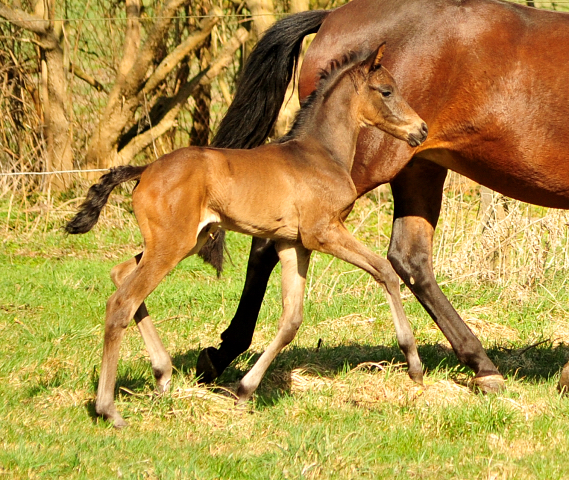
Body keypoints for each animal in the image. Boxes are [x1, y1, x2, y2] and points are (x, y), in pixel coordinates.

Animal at [67, 44, 426, 428]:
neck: (319, 154)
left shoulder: (293, 244)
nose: (421, 129)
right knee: (123, 301)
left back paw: (162, 374)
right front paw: (414, 365)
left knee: (121, 275)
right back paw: (109, 409)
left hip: (185, 241)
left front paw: (244, 391)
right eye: (386, 91)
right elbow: (385, 271)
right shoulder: (323, 232)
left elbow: (292, 319)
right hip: (171, 245)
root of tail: (145, 169)